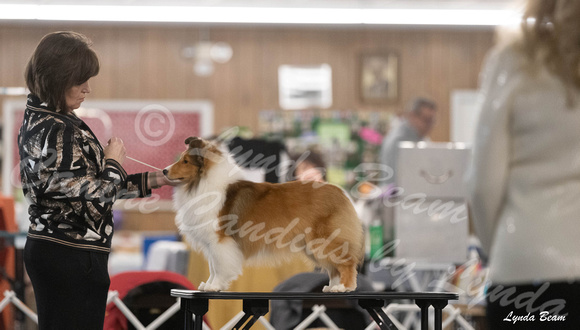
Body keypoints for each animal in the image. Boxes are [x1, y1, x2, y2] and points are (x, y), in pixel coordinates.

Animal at [164, 136, 362, 292]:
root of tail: (340, 191)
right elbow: (213, 266)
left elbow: (219, 267)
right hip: (313, 244)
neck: (202, 183)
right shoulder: (212, 243)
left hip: (324, 239)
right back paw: (332, 286)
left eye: (185, 161)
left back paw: (343, 287)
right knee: (334, 267)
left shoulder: (219, 240)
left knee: (346, 262)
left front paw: (215, 286)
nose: (164, 170)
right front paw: (209, 285)